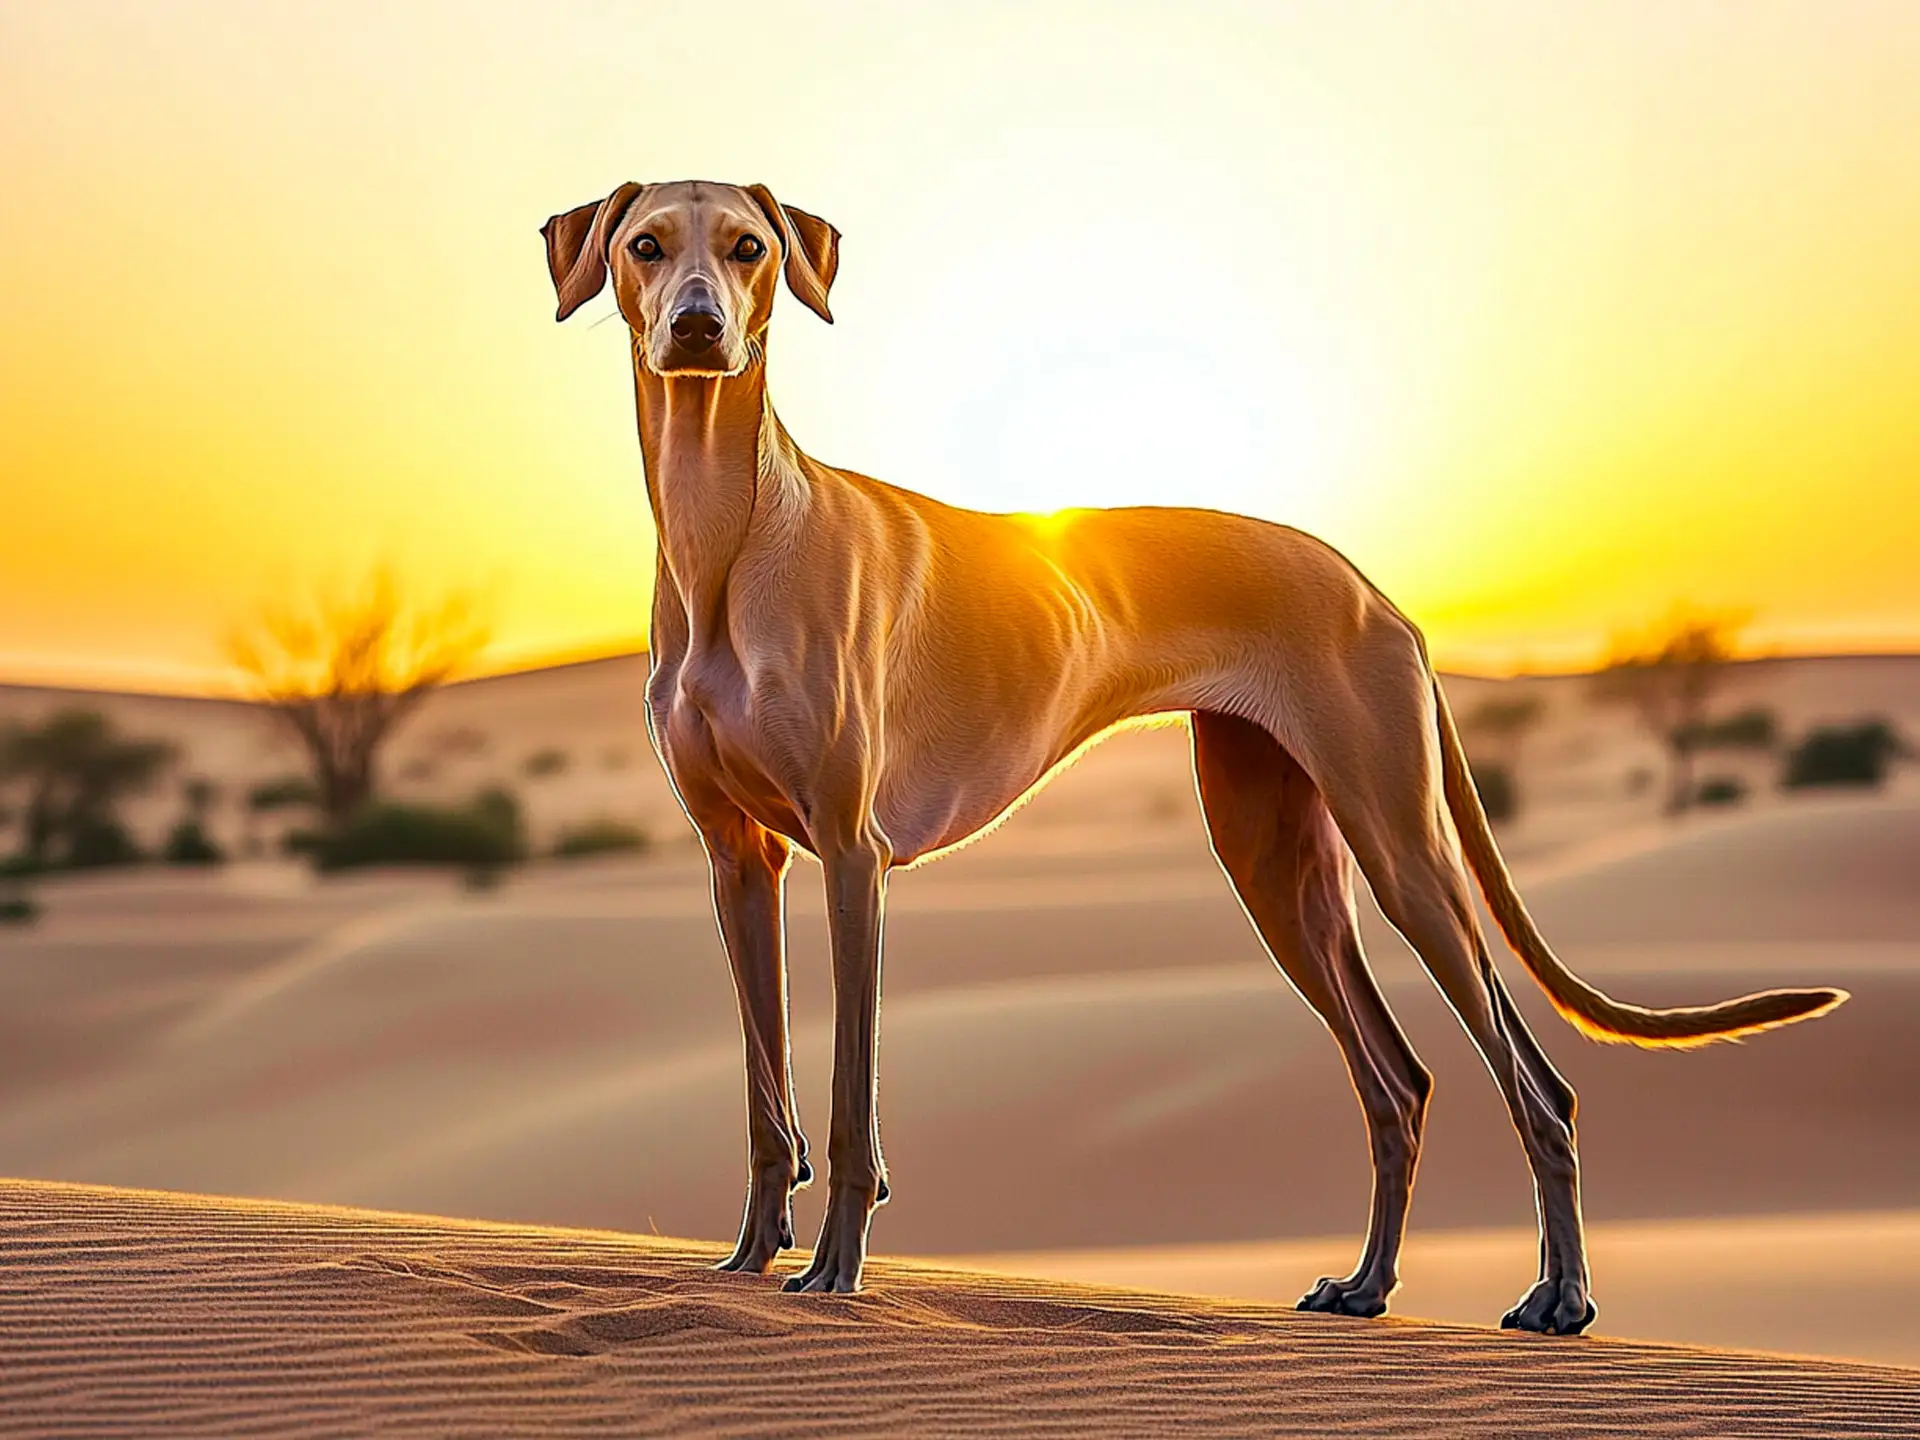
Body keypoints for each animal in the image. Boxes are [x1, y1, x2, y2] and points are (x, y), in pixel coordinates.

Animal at [537, 183, 1843, 1344]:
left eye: (749, 247)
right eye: (647, 245)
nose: (697, 328)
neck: (731, 535)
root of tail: (1374, 589)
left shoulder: (855, 859)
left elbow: (851, 1102)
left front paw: (836, 1274)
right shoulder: (738, 861)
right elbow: (767, 1095)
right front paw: (749, 1264)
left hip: (1400, 853)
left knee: (1537, 1087)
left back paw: (1561, 1299)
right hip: (1277, 865)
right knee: (1398, 1083)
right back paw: (1366, 1287)